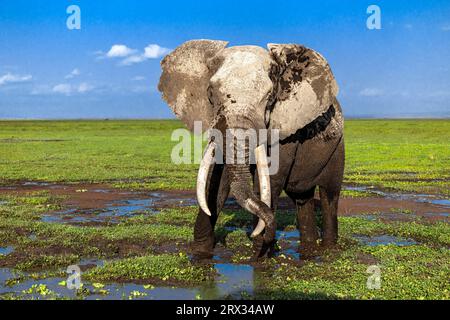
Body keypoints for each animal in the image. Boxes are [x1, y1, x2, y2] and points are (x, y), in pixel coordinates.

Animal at [158, 39, 344, 260]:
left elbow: (269, 182)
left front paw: (259, 257)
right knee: (302, 199)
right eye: (210, 93)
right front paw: (201, 255)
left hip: (337, 149)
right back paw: (308, 248)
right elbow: (215, 180)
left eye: (270, 98)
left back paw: (328, 249)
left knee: (329, 195)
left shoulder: (284, 128)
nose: (258, 234)